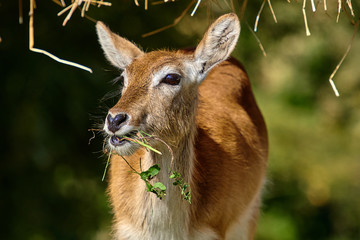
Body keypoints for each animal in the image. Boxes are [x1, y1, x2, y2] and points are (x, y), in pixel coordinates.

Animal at [95, 13, 268, 240]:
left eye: (171, 77)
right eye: (124, 78)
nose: (115, 119)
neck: (170, 230)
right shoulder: (126, 230)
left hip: (250, 213)